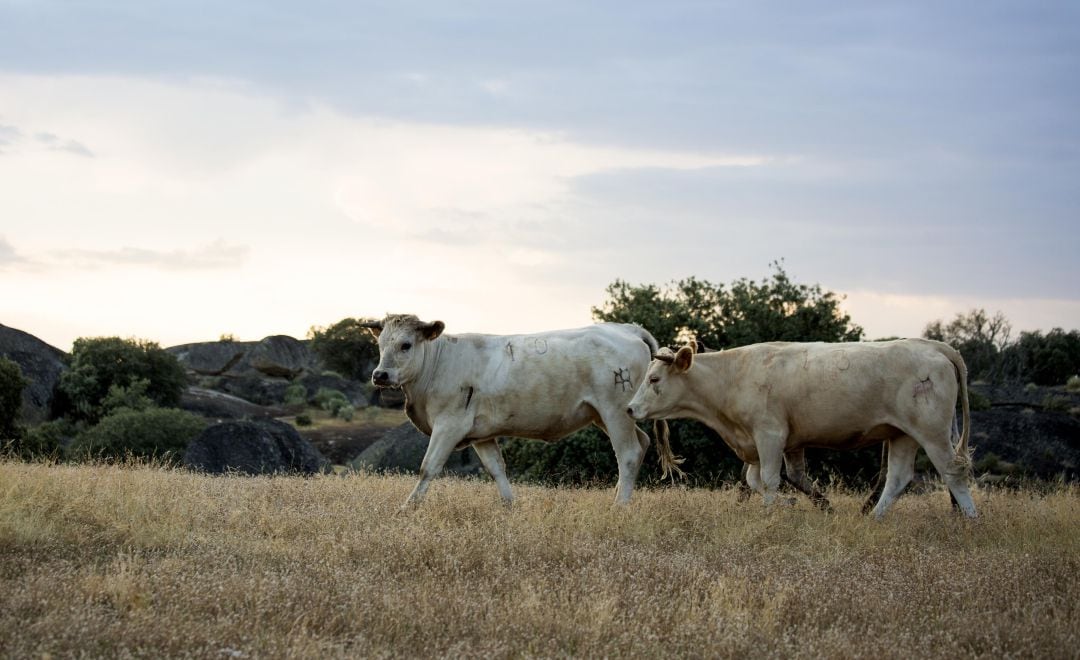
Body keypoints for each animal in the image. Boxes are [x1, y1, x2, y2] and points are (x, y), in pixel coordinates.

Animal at [367, 317, 678, 507]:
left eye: (406, 344)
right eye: (380, 344)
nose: (380, 375)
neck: (437, 363)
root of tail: (627, 329)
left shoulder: (448, 425)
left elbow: (427, 468)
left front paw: (407, 508)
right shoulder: (481, 434)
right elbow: (496, 469)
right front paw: (511, 506)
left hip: (615, 411)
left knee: (628, 453)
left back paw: (619, 505)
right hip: (603, 414)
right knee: (643, 443)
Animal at [626, 339, 980, 518]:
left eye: (654, 379)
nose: (630, 408)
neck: (733, 375)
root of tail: (935, 347)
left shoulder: (769, 435)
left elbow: (769, 480)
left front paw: (770, 513)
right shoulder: (773, 443)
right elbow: (759, 480)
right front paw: (792, 504)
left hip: (931, 431)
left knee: (952, 472)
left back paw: (971, 518)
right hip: (902, 434)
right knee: (897, 478)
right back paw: (873, 518)